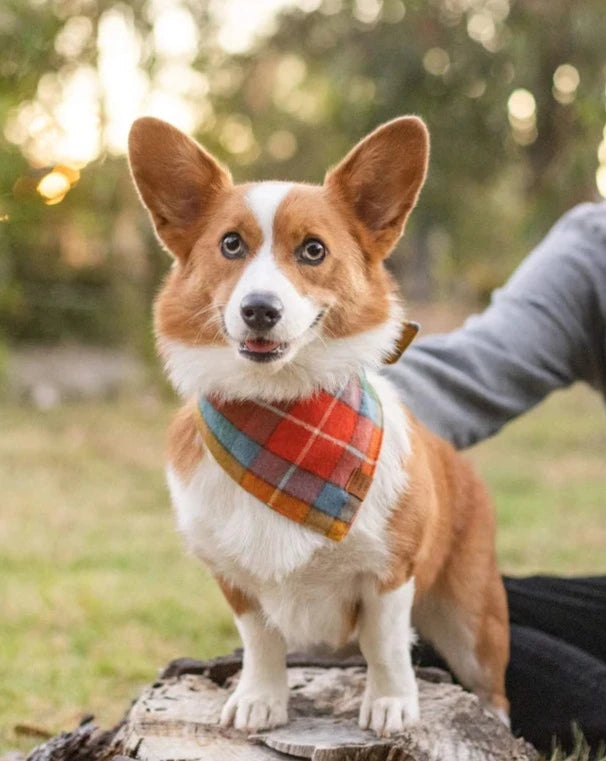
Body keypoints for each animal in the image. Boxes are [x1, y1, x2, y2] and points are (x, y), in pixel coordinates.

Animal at [129, 114, 512, 736]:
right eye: (230, 244)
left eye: (313, 250)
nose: (260, 310)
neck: (283, 412)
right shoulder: (235, 580)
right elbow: (261, 642)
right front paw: (260, 699)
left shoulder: (389, 573)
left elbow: (385, 646)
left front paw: (389, 704)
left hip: (471, 617)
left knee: (488, 682)